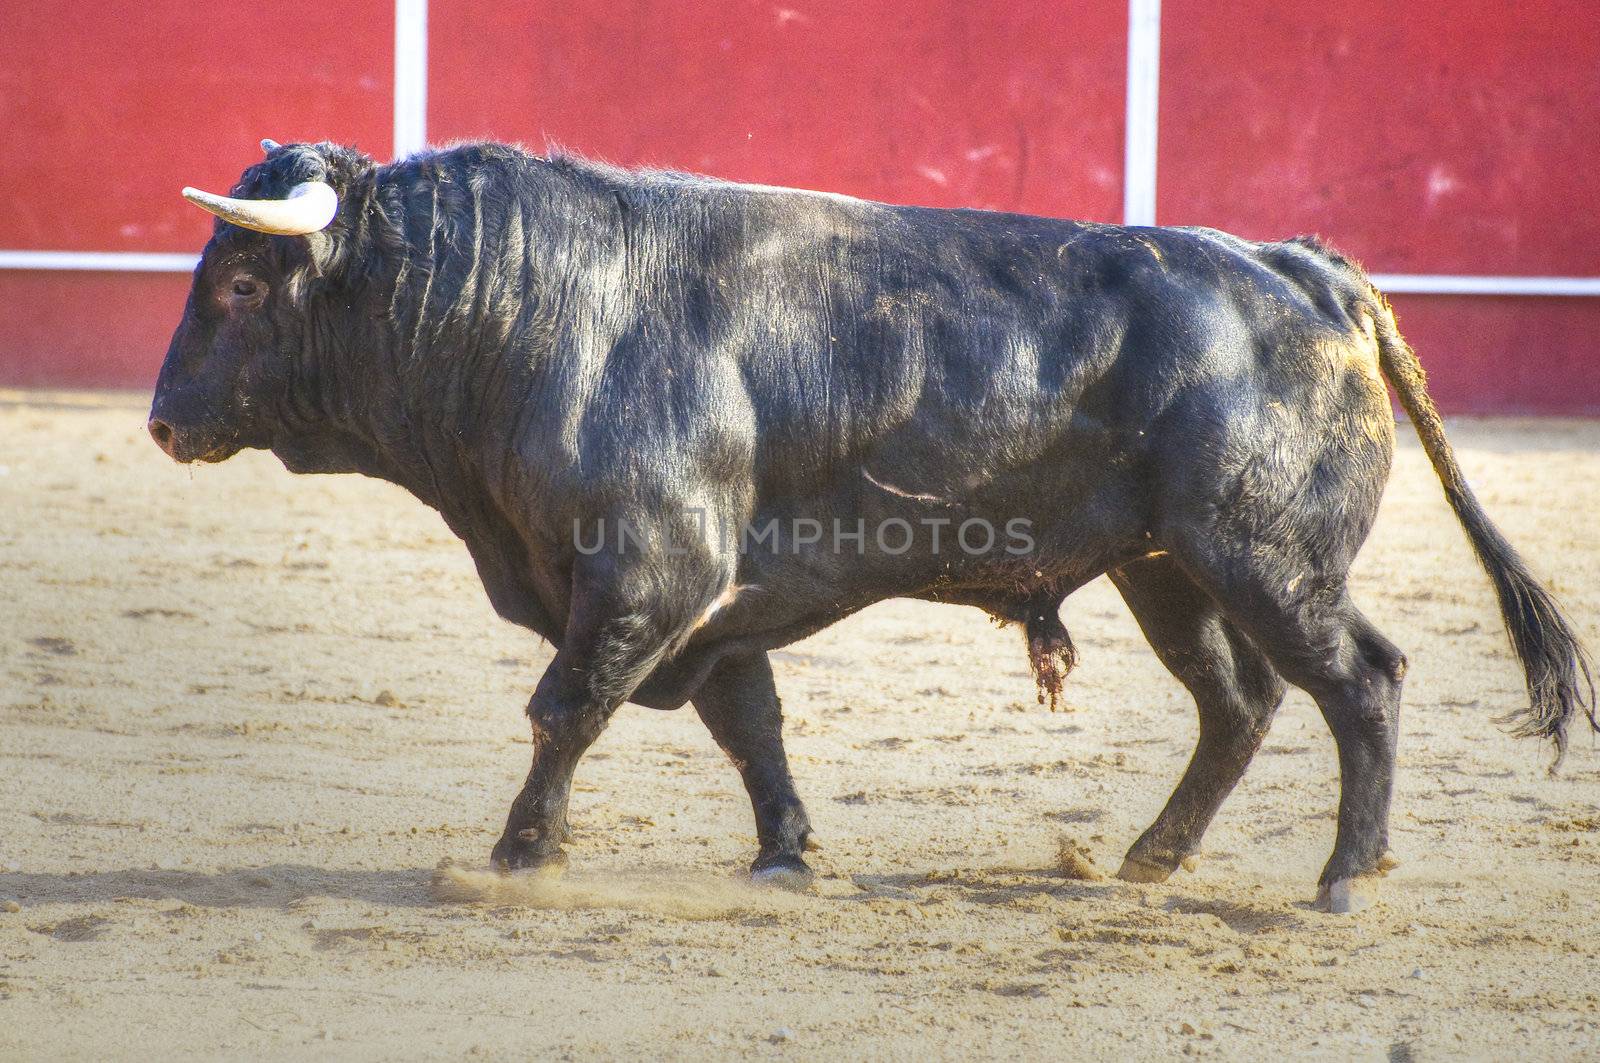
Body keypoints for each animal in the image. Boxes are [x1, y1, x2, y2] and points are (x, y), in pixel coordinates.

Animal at [147, 136, 1587, 909]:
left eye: (237, 285)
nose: (161, 420)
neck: (524, 309)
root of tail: (1303, 269)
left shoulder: (649, 570)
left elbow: (566, 706)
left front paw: (514, 856)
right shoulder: (711, 601)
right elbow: (750, 725)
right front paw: (784, 855)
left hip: (1270, 558)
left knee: (1362, 681)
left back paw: (1344, 874)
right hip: (1170, 567)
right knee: (1240, 703)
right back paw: (1145, 858)